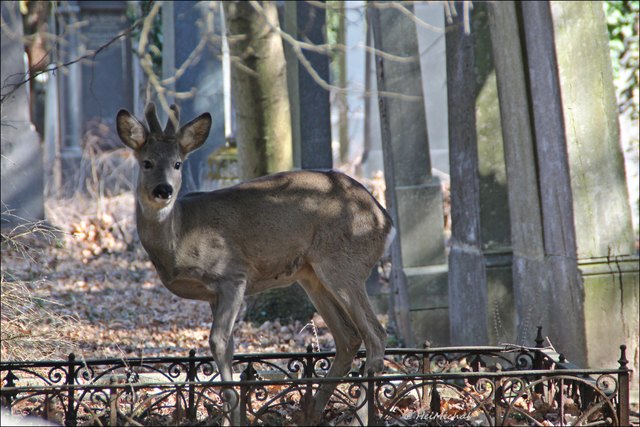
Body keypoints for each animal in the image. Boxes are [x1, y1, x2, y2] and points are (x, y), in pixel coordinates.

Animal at [117, 103, 392, 424]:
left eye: (177, 164)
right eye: (147, 163)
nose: (163, 190)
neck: (180, 238)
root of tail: (384, 219)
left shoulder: (232, 274)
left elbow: (217, 341)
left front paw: (232, 415)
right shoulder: (213, 294)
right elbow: (228, 347)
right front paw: (234, 415)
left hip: (343, 264)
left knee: (375, 335)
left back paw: (357, 417)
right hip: (312, 275)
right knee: (349, 338)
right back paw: (312, 413)